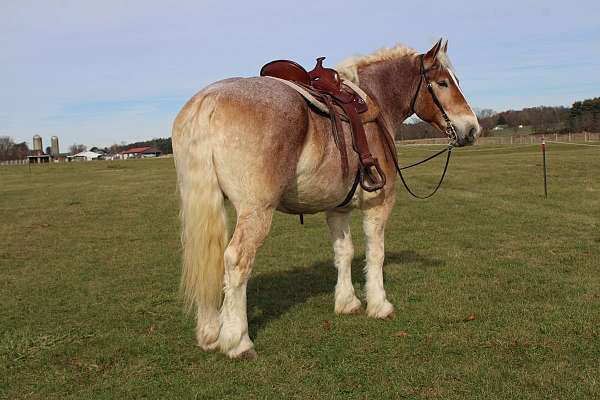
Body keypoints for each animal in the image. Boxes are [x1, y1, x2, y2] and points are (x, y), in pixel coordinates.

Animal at [171, 39, 480, 358]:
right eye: (443, 82)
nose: (472, 129)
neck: (375, 103)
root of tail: (210, 98)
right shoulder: (379, 204)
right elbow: (376, 254)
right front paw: (379, 304)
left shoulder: (337, 209)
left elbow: (344, 252)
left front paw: (347, 302)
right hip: (256, 210)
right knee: (236, 260)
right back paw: (237, 341)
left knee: (209, 260)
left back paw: (209, 333)